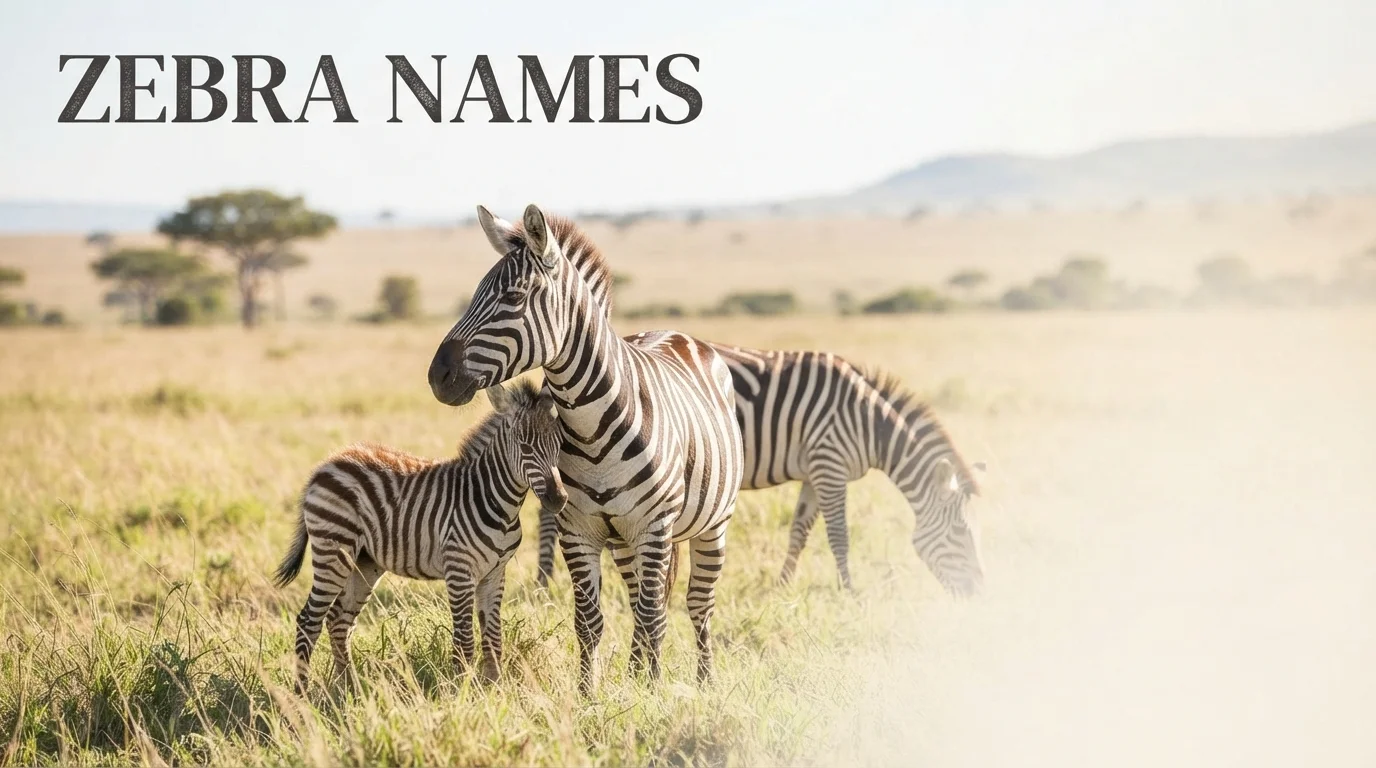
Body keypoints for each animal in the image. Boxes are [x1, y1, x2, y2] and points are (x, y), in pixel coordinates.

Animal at [274, 380, 566, 689]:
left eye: (559, 446)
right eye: (524, 445)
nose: (558, 499)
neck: (496, 502)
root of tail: (327, 464)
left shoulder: (495, 574)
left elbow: (493, 639)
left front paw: (494, 688)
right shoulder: (459, 571)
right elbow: (464, 639)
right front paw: (462, 690)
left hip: (364, 562)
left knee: (339, 620)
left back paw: (348, 686)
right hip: (333, 551)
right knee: (308, 620)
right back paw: (302, 692)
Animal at [427, 204, 744, 691]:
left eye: (513, 298)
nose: (436, 376)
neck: (591, 429)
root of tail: (673, 332)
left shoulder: (655, 526)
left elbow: (653, 617)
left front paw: (651, 694)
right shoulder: (576, 529)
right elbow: (590, 621)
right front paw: (589, 693)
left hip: (710, 525)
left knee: (696, 605)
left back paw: (703, 681)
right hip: (625, 542)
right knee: (639, 601)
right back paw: (635, 671)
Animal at [535, 347, 985, 595]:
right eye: (961, 535)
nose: (980, 596)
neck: (866, 420)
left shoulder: (814, 472)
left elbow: (799, 530)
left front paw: (783, 585)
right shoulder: (830, 463)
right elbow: (839, 535)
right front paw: (849, 590)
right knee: (549, 515)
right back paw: (543, 583)